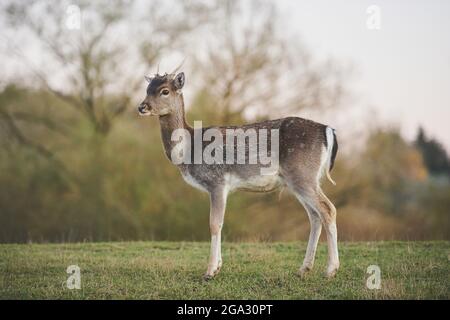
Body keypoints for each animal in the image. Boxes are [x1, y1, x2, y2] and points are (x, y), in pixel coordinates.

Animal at [139, 67, 340, 280]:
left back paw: (331, 270)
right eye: (147, 89)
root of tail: (328, 130)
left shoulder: (217, 181)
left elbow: (215, 223)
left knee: (328, 209)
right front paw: (218, 266)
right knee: (315, 215)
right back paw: (304, 269)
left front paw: (210, 271)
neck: (188, 150)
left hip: (302, 174)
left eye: (165, 91)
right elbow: (219, 222)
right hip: (300, 179)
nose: (142, 107)